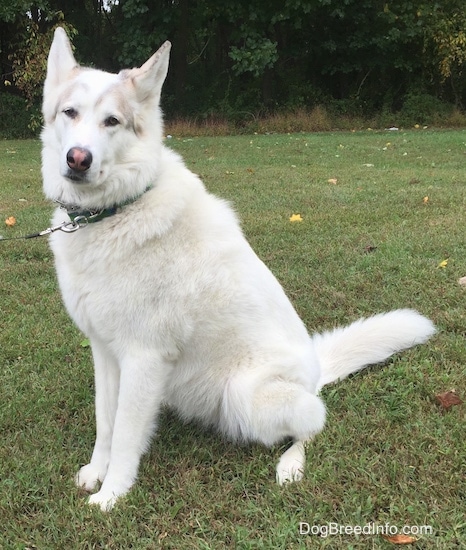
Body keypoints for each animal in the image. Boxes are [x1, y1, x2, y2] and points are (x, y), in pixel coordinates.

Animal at [41, 29, 436, 512]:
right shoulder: (106, 353)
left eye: (112, 121)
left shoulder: (143, 357)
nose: (78, 159)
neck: (115, 213)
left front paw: (112, 496)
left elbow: (126, 437)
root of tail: (316, 371)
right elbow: (106, 425)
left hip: (245, 393)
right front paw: (96, 474)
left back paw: (292, 465)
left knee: (315, 422)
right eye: (70, 113)